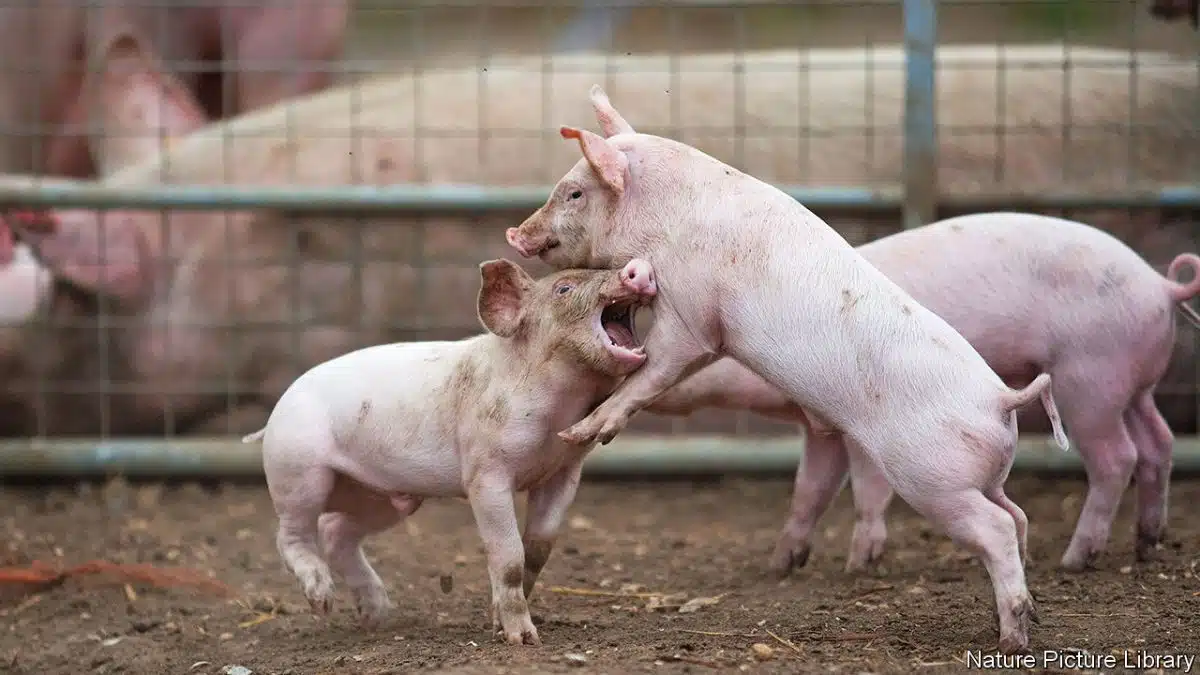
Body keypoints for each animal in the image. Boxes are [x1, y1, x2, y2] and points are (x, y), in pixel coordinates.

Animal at [240, 257, 658, 645]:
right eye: (564, 289)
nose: (636, 268)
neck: (559, 411)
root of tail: (276, 411)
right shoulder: (485, 473)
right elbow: (509, 556)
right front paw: (524, 640)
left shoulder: (564, 471)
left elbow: (537, 550)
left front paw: (498, 622)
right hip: (297, 468)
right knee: (291, 533)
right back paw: (322, 601)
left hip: (379, 495)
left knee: (335, 530)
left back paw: (378, 615)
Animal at [505, 86, 1070, 654]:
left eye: (575, 193)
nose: (515, 232)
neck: (664, 217)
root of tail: (1002, 400)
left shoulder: (693, 313)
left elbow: (653, 371)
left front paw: (580, 431)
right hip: (984, 475)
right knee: (1017, 517)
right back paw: (1024, 616)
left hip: (935, 478)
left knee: (997, 527)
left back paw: (1012, 639)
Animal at [645, 212, 1200, 574]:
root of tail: (1161, 286)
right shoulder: (821, 427)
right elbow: (810, 490)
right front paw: (781, 565)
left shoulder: (861, 425)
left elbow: (867, 488)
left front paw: (858, 565)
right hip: (1133, 384)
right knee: (1159, 442)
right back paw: (1147, 544)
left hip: (1090, 379)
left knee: (1118, 457)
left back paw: (1073, 561)